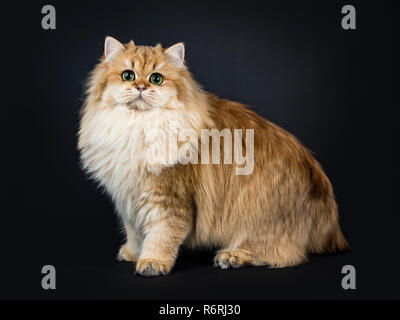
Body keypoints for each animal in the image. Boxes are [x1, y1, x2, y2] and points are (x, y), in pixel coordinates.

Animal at [78, 37, 346, 278]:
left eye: (156, 79)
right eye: (128, 75)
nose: (141, 87)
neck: (138, 128)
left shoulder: (168, 199)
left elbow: (160, 237)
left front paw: (152, 262)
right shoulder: (129, 198)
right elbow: (134, 232)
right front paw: (133, 253)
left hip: (256, 214)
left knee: (284, 255)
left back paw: (232, 256)